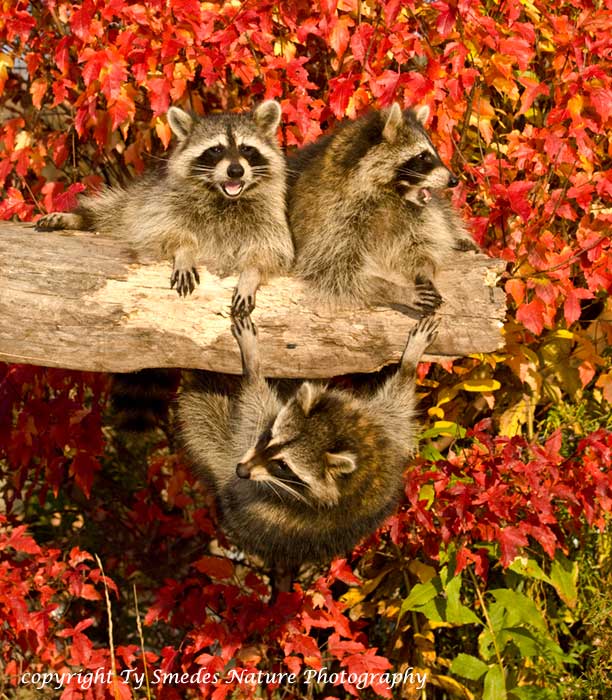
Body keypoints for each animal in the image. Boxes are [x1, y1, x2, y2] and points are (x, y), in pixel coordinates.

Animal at [36, 101, 293, 316]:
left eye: (246, 148)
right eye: (216, 149)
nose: (236, 171)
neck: (223, 198)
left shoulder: (269, 216)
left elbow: (272, 251)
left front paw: (251, 273)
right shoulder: (162, 203)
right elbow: (162, 229)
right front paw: (184, 249)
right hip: (134, 201)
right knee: (110, 212)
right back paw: (77, 218)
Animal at [179, 314, 439, 570]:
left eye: (284, 465)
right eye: (269, 436)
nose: (240, 471)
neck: (343, 434)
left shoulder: (379, 437)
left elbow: (254, 403)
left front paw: (252, 362)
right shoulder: (379, 433)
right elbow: (398, 403)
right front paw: (410, 363)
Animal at [288, 103, 478, 316]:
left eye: (434, 152)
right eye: (422, 156)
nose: (454, 180)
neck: (389, 194)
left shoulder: (417, 215)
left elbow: (422, 242)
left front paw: (424, 270)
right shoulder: (330, 218)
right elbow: (336, 270)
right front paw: (395, 290)